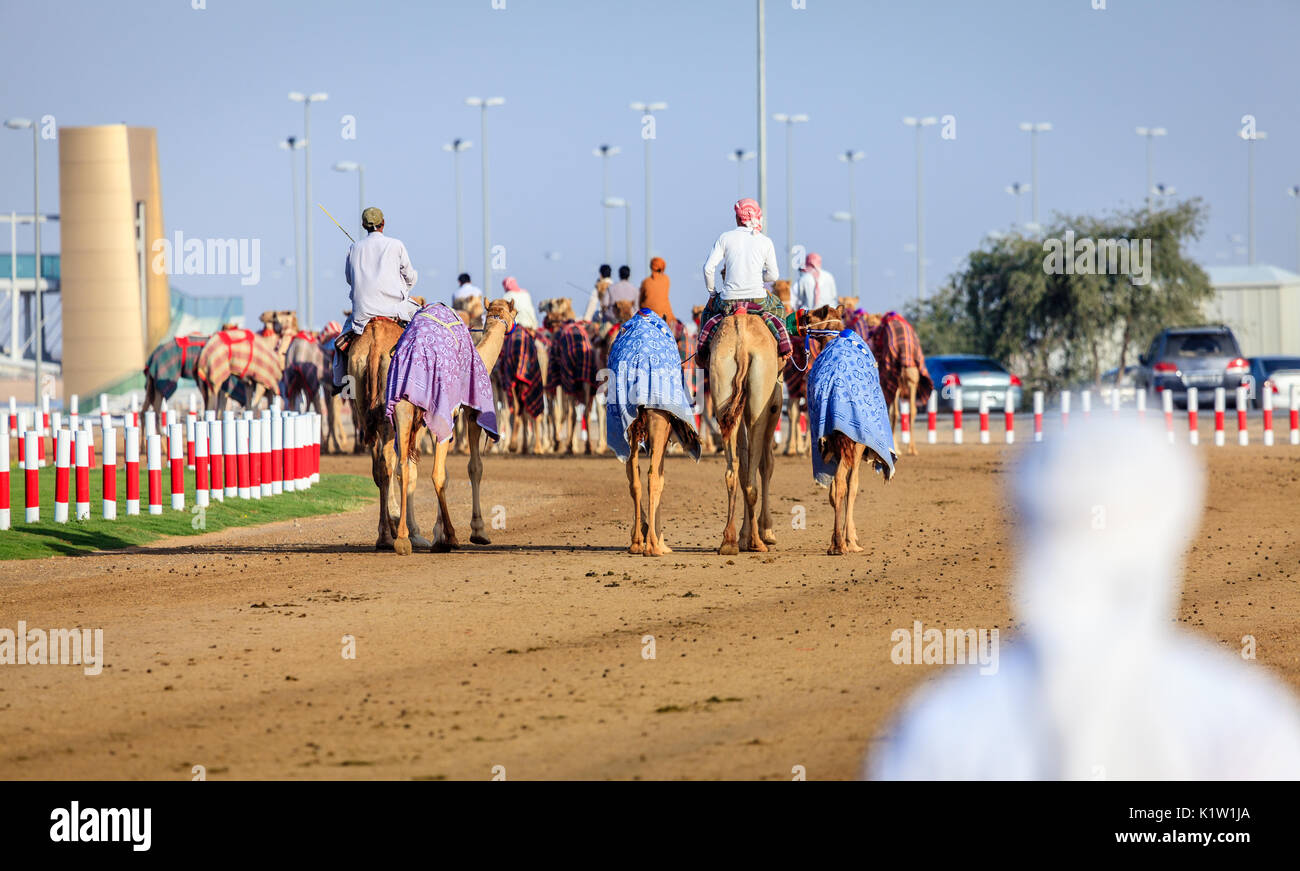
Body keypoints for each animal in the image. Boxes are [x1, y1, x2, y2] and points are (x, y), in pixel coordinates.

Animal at [384, 300, 517, 556]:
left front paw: (437, 534)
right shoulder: (469, 412)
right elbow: (474, 467)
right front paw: (476, 532)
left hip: (403, 409)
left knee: (402, 466)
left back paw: (403, 539)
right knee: (434, 473)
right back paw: (451, 538)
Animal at [707, 306, 774, 553]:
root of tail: (742, 344)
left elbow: (744, 464)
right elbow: (765, 464)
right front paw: (766, 532)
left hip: (721, 376)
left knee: (732, 471)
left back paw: (728, 541)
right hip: (760, 395)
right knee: (753, 477)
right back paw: (756, 542)